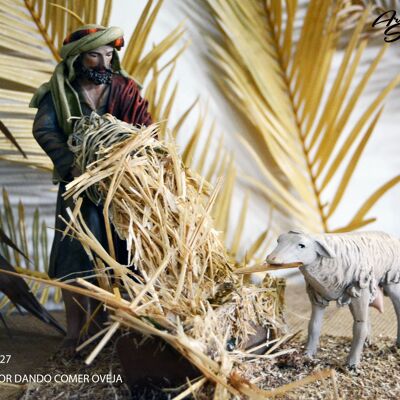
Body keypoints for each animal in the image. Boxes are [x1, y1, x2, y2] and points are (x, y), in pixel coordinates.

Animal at [266, 230, 400, 368]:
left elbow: (359, 328)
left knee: (396, 309)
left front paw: (352, 363)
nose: (271, 258)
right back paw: (368, 341)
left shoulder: (359, 293)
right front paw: (308, 354)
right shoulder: (318, 296)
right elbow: (314, 325)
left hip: (390, 281)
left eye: (302, 245)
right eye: (278, 241)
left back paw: (396, 344)